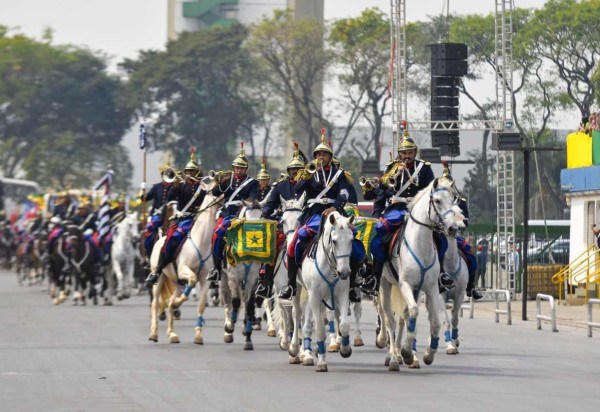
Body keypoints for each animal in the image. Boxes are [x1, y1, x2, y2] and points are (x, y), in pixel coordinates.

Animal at [149, 179, 224, 342]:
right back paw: (153, 333)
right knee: (155, 303)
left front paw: (198, 335)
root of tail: (160, 240)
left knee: (170, 303)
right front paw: (179, 301)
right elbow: (192, 279)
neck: (201, 241)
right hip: (159, 278)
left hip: (177, 283)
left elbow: (201, 305)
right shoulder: (184, 269)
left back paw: (172, 333)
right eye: (215, 188)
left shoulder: (205, 279)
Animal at [220, 198, 264, 350]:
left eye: (261, 218)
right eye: (246, 220)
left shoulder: (252, 279)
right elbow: (235, 302)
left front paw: (248, 338)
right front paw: (229, 327)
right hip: (224, 278)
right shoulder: (233, 277)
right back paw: (228, 330)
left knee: (245, 301)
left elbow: (250, 306)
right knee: (228, 300)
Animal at [288, 211, 354, 372]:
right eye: (334, 241)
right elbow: (319, 330)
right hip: (298, 289)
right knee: (297, 314)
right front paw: (322, 362)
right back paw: (294, 348)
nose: (344, 272)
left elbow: (344, 325)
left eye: (351, 240)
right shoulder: (315, 296)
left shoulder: (342, 294)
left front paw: (345, 349)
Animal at [378, 179, 462, 372]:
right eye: (437, 200)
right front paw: (407, 352)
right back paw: (393, 358)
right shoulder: (406, 285)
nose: (452, 228)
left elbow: (435, 322)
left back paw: (399, 355)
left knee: (402, 318)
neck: (420, 246)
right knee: (389, 319)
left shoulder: (431, 289)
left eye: (453, 199)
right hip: (386, 284)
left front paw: (427, 354)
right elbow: (414, 312)